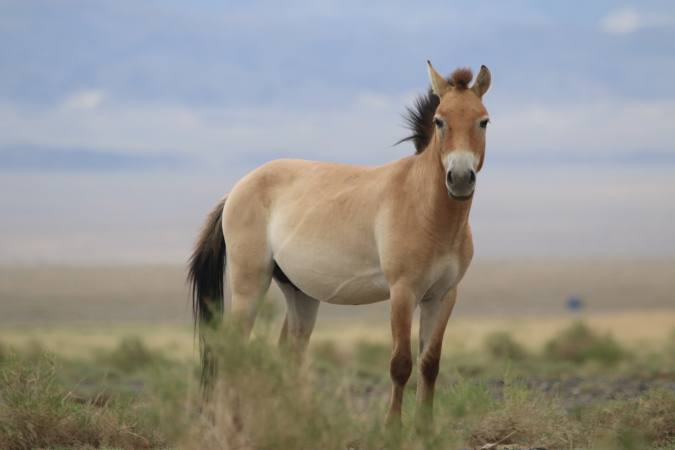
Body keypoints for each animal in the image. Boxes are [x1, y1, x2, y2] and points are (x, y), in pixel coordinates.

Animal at [189, 61, 492, 428]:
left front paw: (424, 429)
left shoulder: (443, 296)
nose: (460, 179)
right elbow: (401, 364)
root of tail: (237, 188)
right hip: (250, 286)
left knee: (290, 353)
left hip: (300, 293)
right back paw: (233, 424)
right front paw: (392, 429)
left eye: (483, 121)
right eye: (439, 121)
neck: (427, 210)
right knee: (235, 350)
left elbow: (429, 364)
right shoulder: (403, 292)